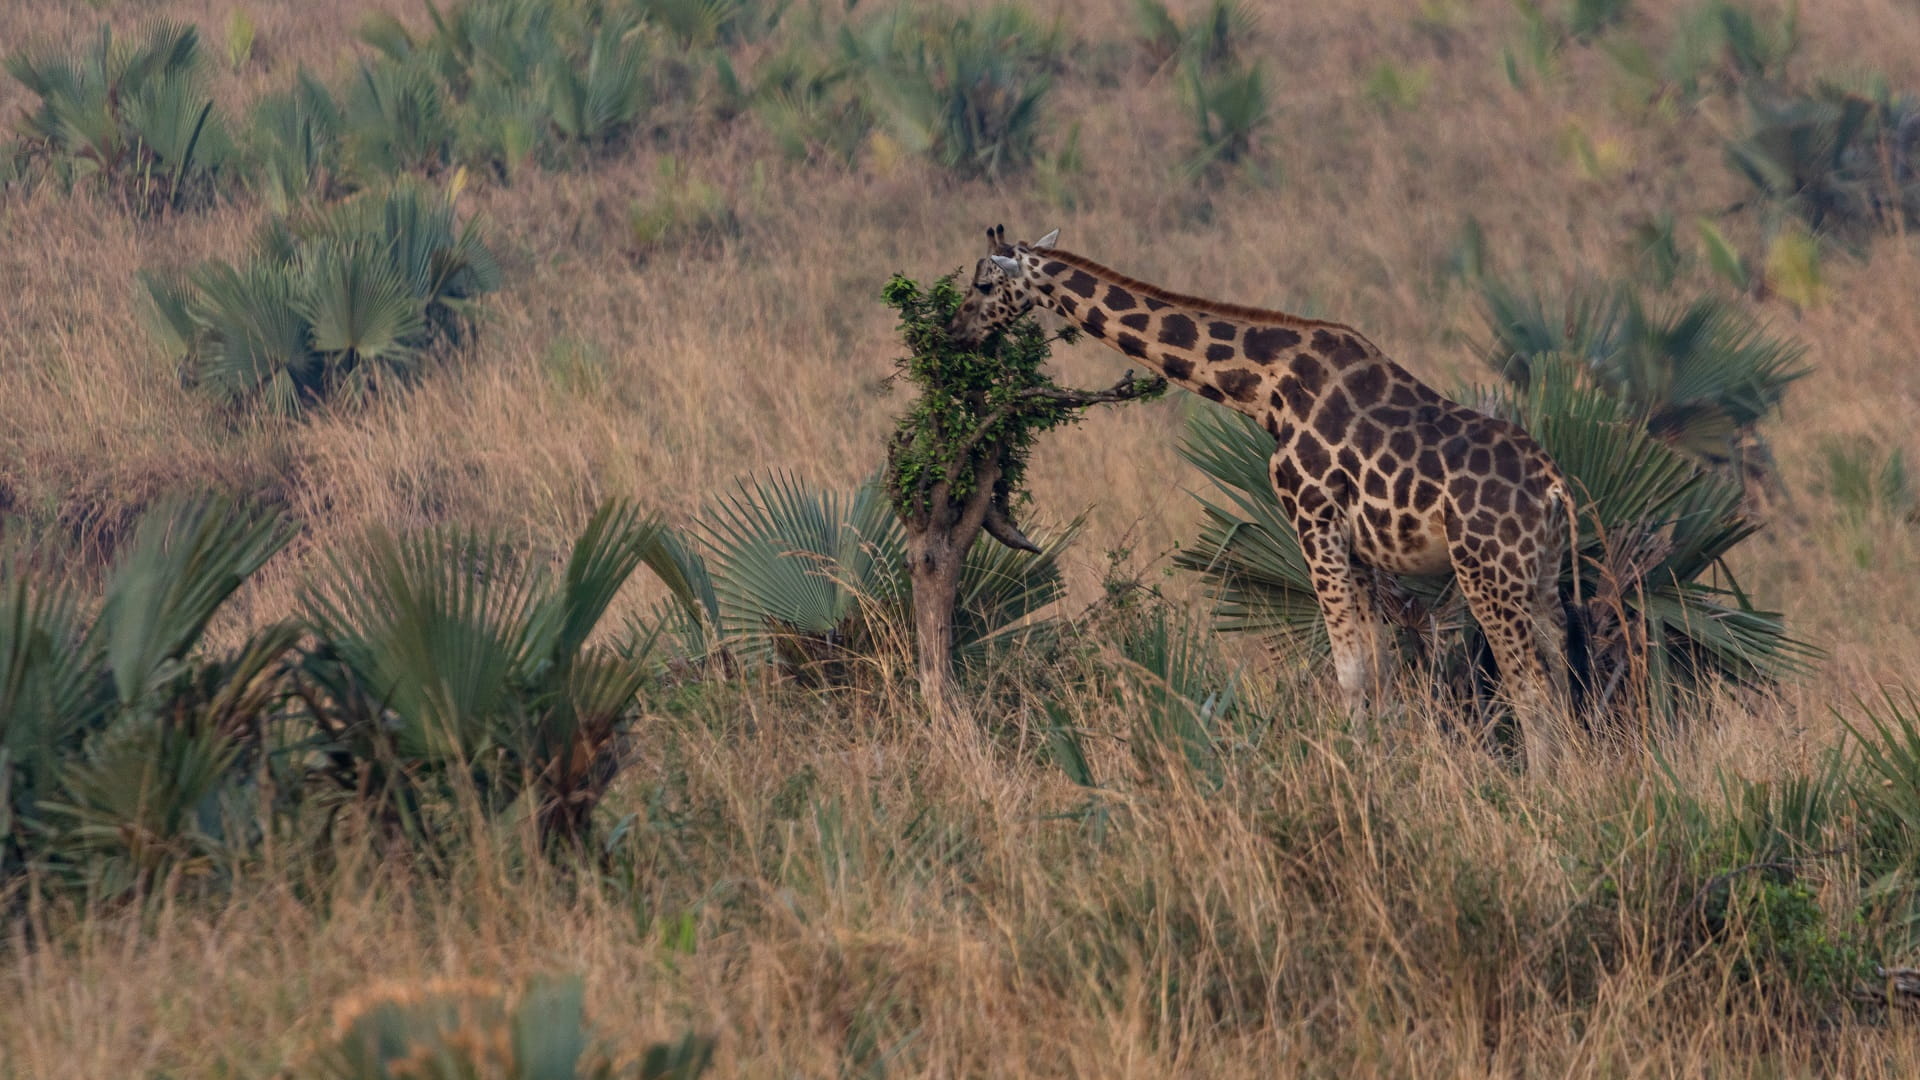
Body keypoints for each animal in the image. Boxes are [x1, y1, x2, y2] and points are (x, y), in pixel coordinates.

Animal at [948, 225, 1580, 772]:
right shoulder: (1359, 550)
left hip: (1487, 570)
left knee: (1529, 682)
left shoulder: (1312, 519)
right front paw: (1382, 766)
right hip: (1542, 572)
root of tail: (1553, 484)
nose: (955, 333)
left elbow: (1350, 671)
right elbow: (1379, 670)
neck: (1262, 388)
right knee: (1563, 661)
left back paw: (1540, 787)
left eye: (984, 284)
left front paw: (1355, 772)